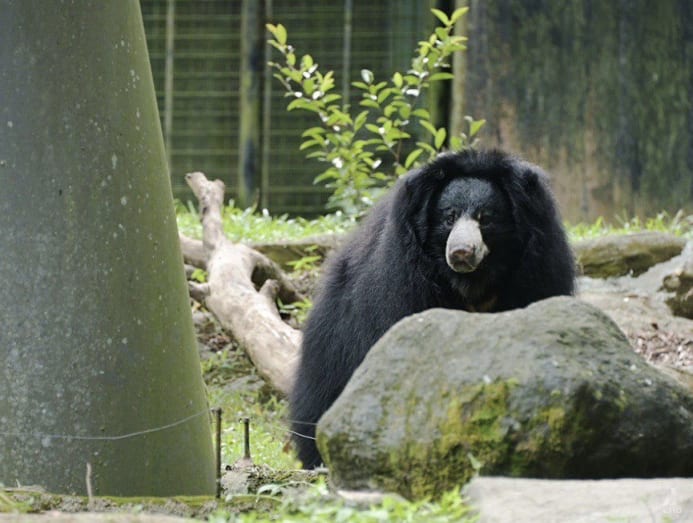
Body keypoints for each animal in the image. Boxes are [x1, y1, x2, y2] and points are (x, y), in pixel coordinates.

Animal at [290, 149, 576, 468]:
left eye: (485, 218)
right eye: (449, 217)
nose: (461, 252)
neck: (471, 282)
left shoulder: (537, 269)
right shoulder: (403, 281)